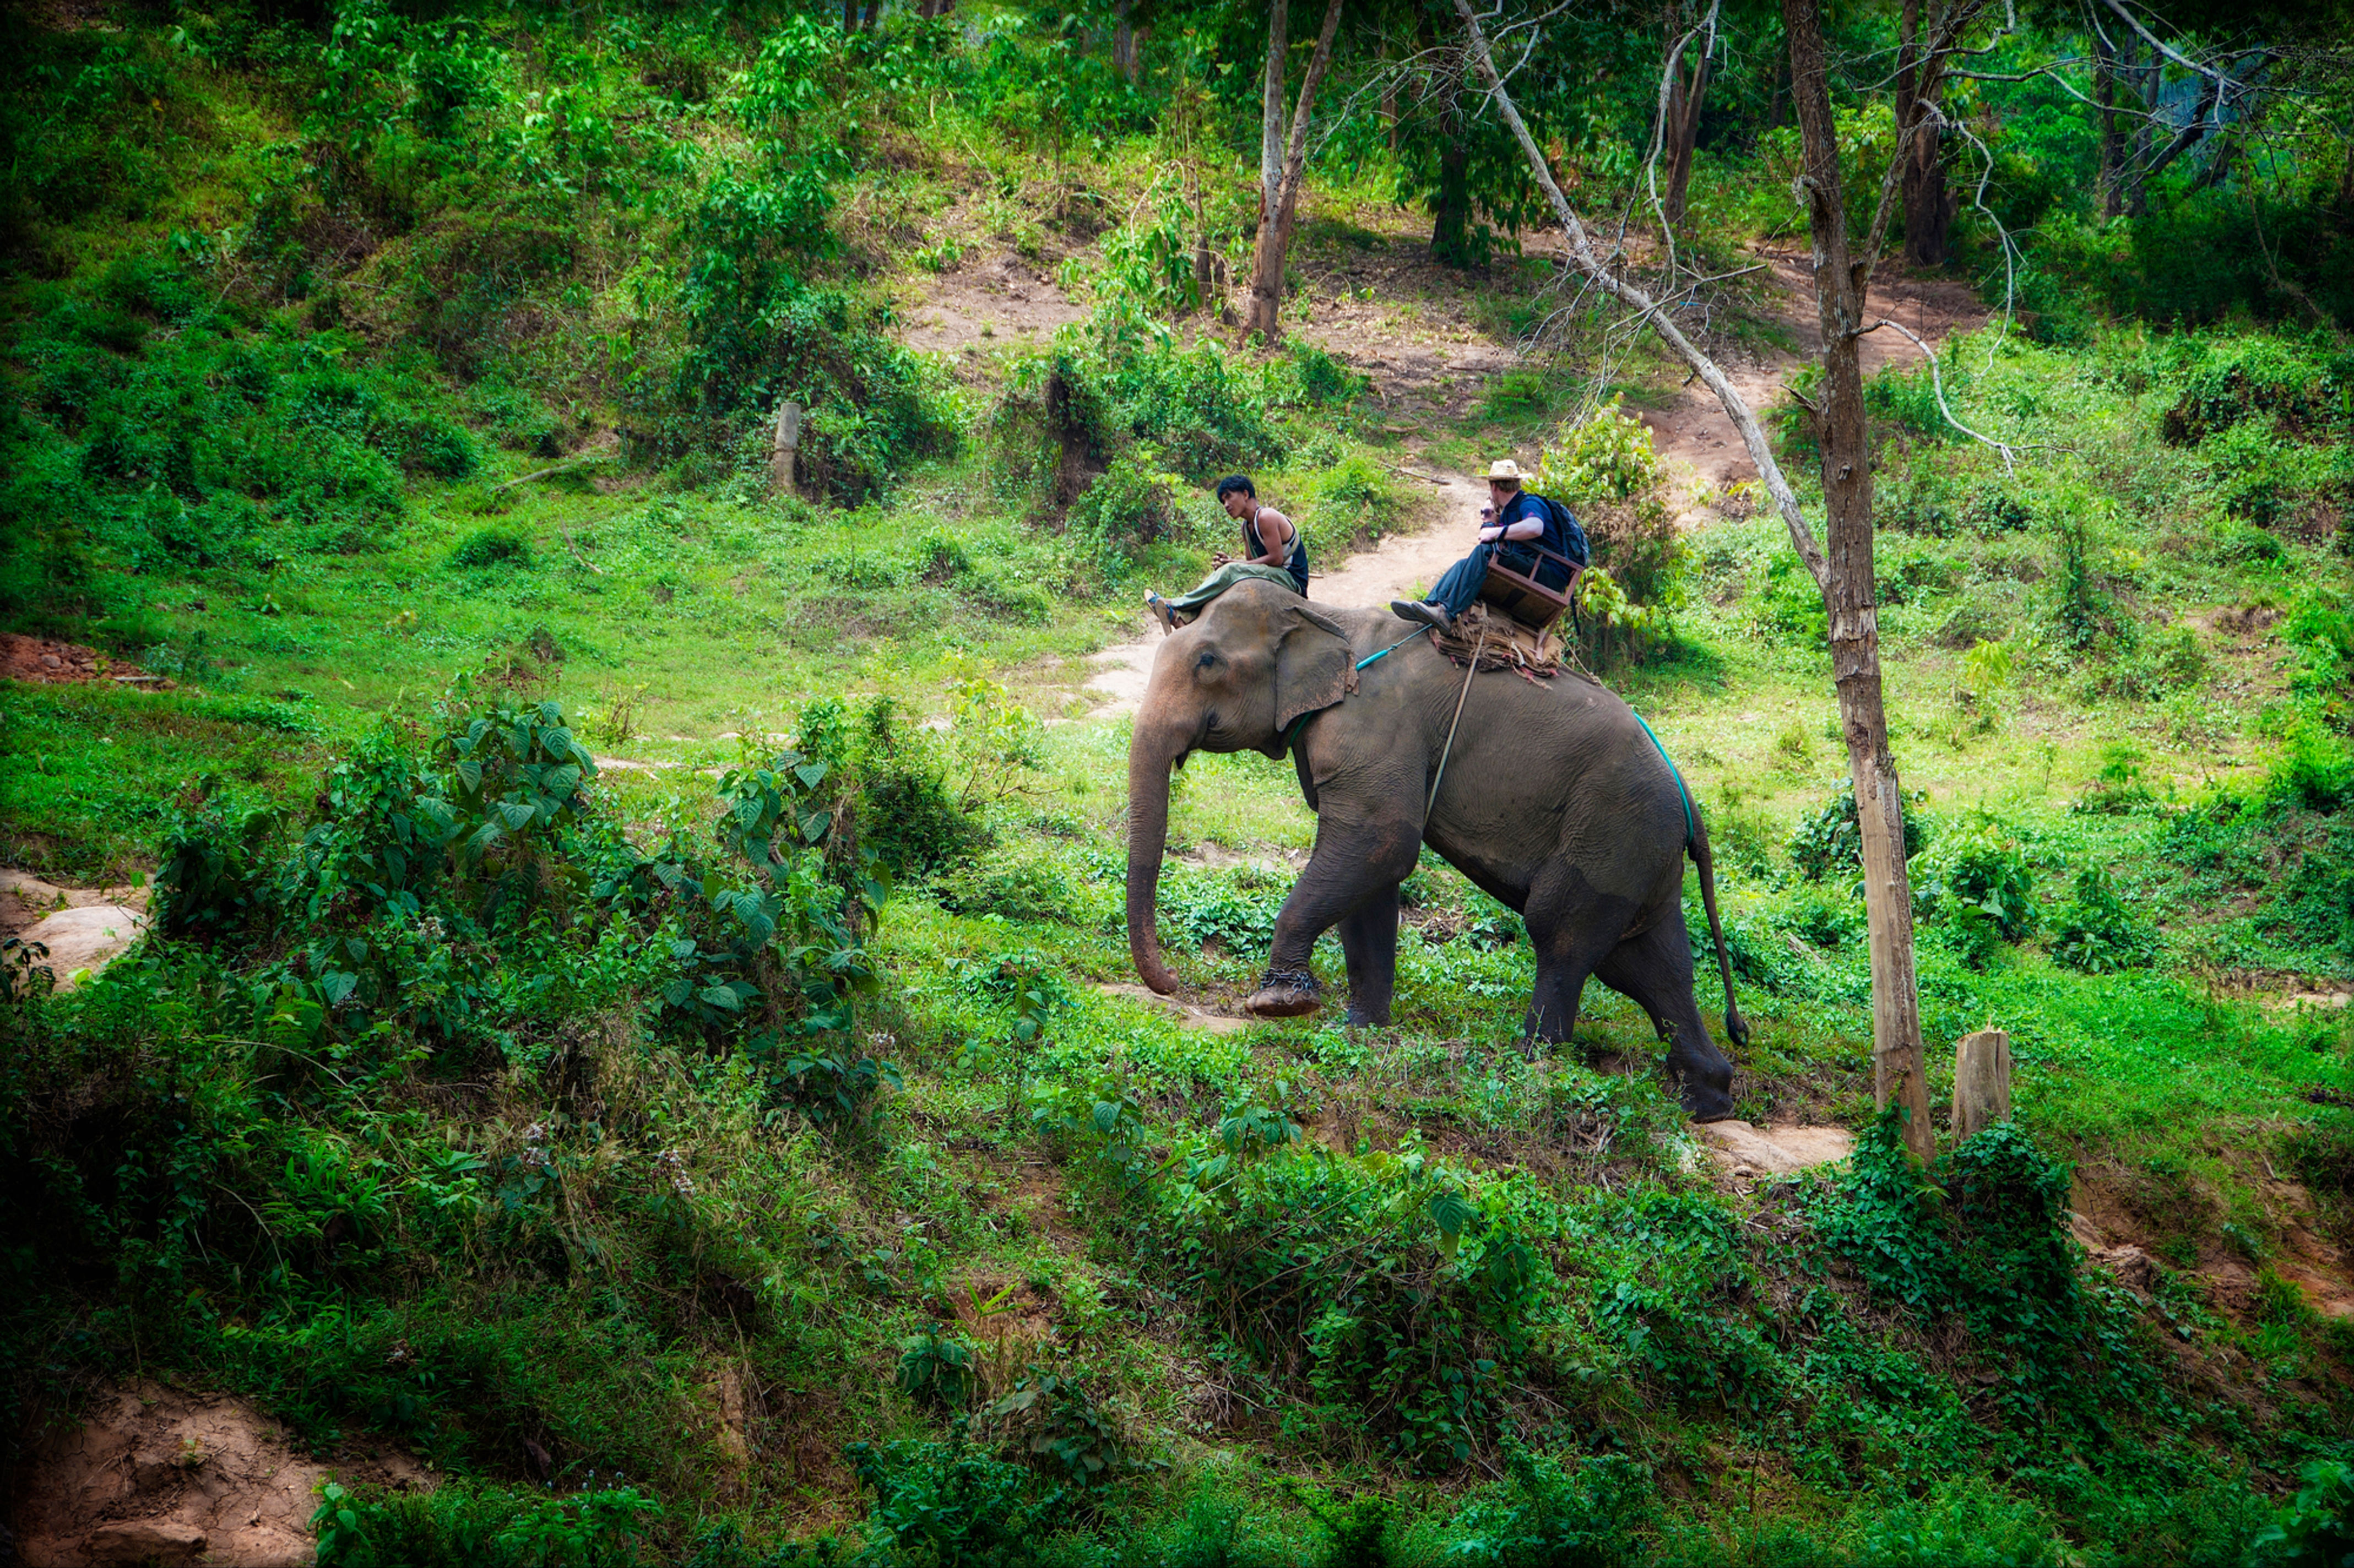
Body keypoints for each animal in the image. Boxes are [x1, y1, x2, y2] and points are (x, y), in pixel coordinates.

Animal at [1123, 579, 1746, 1120]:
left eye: (1207, 662)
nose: (1174, 981)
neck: (1323, 616)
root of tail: (1688, 799)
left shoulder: (1372, 730)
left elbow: (1381, 843)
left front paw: (1279, 1005)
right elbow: (1373, 878)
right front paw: (1359, 1030)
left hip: (1611, 830)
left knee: (1562, 933)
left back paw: (1534, 1069)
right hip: (1636, 850)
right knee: (1647, 961)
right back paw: (1706, 1102)